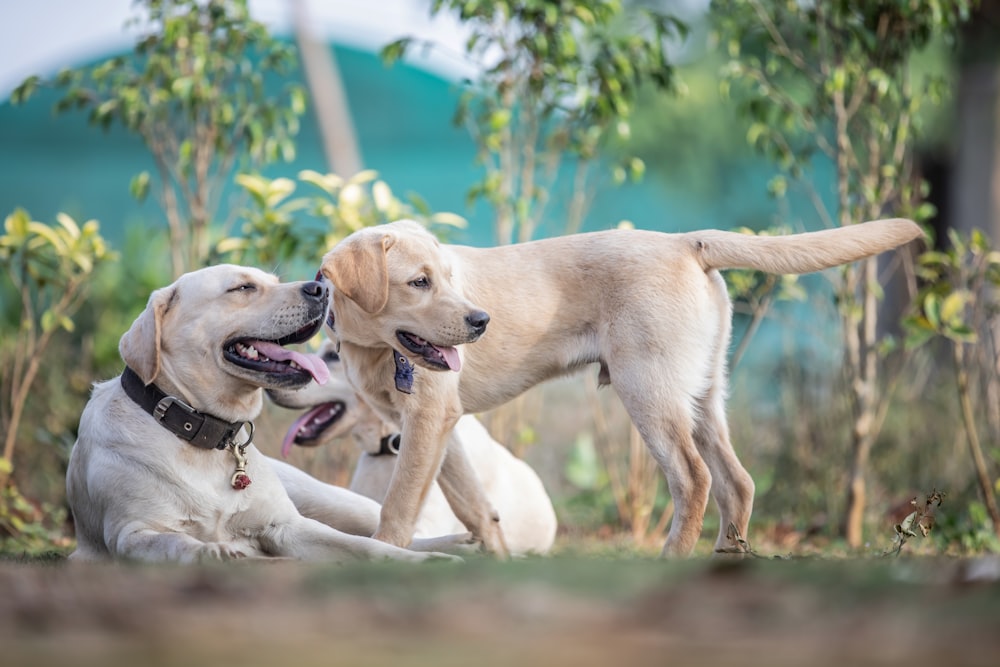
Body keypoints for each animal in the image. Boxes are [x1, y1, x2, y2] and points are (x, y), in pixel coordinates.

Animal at [66, 266, 464, 564]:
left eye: (272, 281)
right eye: (243, 287)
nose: (321, 288)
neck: (207, 439)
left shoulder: (287, 526)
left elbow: (366, 546)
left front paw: (423, 563)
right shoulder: (130, 533)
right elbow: (174, 542)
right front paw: (212, 550)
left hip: (334, 501)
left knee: (387, 530)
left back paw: (460, 542)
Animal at [318, 217, 920, 556]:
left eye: (444, 278)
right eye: (419, 282)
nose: (481, 321)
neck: (373, 345)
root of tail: (685, 242)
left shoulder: (426, 420)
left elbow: (398, 506)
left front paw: (383, 556)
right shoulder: (443, 427)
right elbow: (476, 508)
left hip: (648, 389)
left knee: (694, 480)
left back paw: (671, 560)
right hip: (702, 396)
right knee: (738, 482)